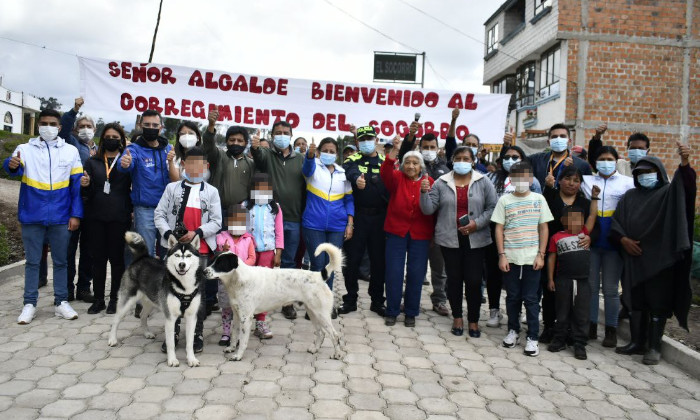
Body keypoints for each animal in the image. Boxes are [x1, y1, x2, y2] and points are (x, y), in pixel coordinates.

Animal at [107, 231, 205, 366]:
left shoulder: (192, 317)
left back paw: (147, 333)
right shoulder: (170, 318)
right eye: (177, 255)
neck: (184, 286)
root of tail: (142, 257)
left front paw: (191, 359)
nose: (182, 265)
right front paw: (172, 360)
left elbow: (190, 343)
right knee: (116, 319)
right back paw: (112, 339)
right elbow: (171, 343)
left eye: (189, 255)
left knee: (142, 315)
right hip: (127, 301)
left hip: (151, 301)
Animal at [204, 243, 344, 360]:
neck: (238, 280)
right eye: (212, 261)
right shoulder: (237, 315)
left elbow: (242, 340)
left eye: (220, 264)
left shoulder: (246, 318)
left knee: (334, 335)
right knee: (321, 333)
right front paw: (232, 348)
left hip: (321, 314)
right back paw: (315, 349)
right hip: (313, 313)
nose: (204, 271)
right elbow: (234, 335)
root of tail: (319, 276)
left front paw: (238, 355)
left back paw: (337, 354)